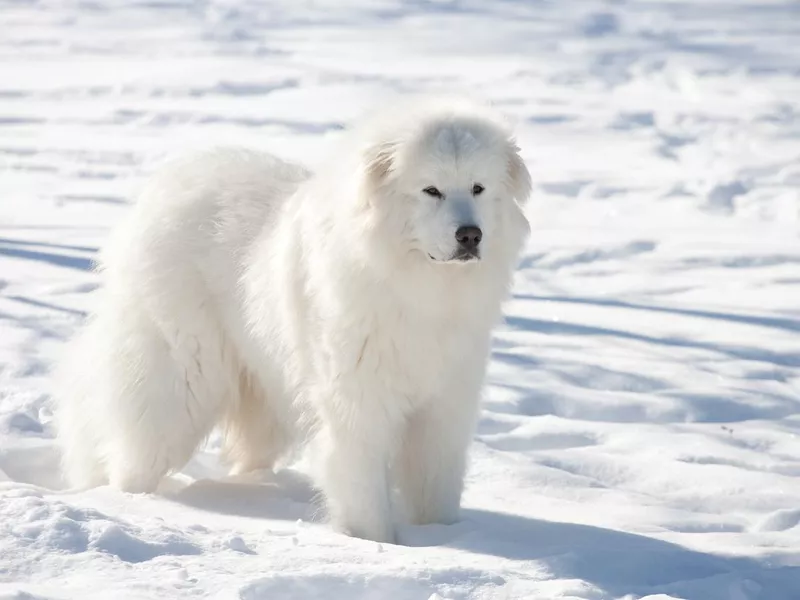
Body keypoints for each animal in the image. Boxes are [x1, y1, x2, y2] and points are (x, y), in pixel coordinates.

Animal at [56, 96, 532, 540]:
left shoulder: (444, 405)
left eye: (478, 187)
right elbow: (362, 485)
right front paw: (375, 543)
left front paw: (443, 536)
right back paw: (127, 503)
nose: (469, 235)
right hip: (181, 380)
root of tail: (162, 188)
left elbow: (437, 483)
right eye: (431, 190)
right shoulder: (357, 402)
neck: (418, 288)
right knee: (137, 450)